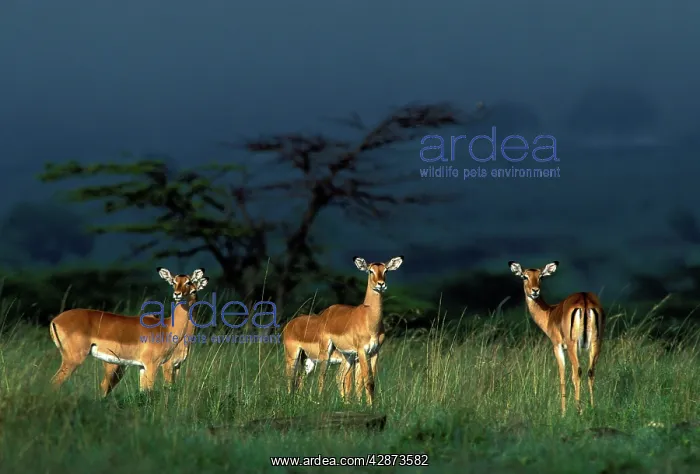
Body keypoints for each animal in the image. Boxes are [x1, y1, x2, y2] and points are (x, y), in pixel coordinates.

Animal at [49, 267, 208, 396]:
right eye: (173, 282)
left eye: (189, 282)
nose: (177, 294)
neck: (167, 328)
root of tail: (55, 320)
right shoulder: (156, 365)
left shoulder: (144, 367)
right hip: (74, 359)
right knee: (55, 383)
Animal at [315, 255, 404, 406]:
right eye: (370, 271)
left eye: (386, 270)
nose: (381, 284)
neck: (370, 322)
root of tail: (327, 312)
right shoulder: (362, 351)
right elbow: (366, 380)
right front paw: (368, 406)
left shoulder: (375, 351)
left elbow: (369, 382)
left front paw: (368, 405)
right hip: (327, 349)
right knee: (322, 375)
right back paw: (319, 401)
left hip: (347, 355)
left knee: (339, 376)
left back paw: (345, 403)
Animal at [508, 261, 604, 415]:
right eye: (524, 276)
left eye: (541, 277)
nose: (535, 291)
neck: (550, 313)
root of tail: (584, 299)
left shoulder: (557, 347)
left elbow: (562, 375)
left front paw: (563, 412)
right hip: (596, 343)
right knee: (590, 372)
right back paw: (592, 406)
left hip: (572, 346)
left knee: (577, 371)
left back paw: (578, 409)